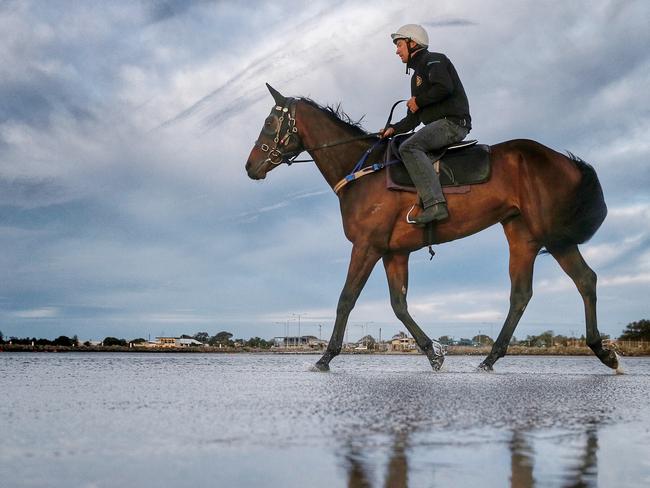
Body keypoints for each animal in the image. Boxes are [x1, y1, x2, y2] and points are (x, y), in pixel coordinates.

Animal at [244, 84, 616, 374]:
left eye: (270, 121)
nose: (250, 166)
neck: (364, 170)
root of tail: (565, 160)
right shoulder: (394, 253)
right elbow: (399, 305)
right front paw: (432, 353)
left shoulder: (366, 246)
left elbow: (346, 299)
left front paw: (325, 358)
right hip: (524, 235)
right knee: (544, 289)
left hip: (550, 234)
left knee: (574, 282)